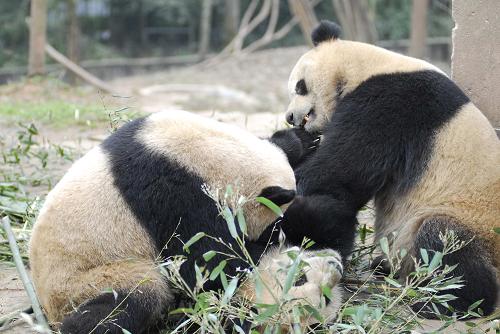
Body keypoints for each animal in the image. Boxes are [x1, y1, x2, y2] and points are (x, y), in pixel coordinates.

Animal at [28, 111, 344, 332]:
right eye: (271, 228)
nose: (274, 238)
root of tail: (47, 302)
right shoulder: (170, 194)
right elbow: (204, 259)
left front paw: (304, 141)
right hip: (87, 279)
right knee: (134, 297)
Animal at [276, 21, 498, 318]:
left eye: (300, 86)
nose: (290, 117)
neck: (365, 66)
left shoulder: (392, 102)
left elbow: (342, 168)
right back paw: (384, 268)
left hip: (473, 224)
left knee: (444, 240)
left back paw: (444, 302)